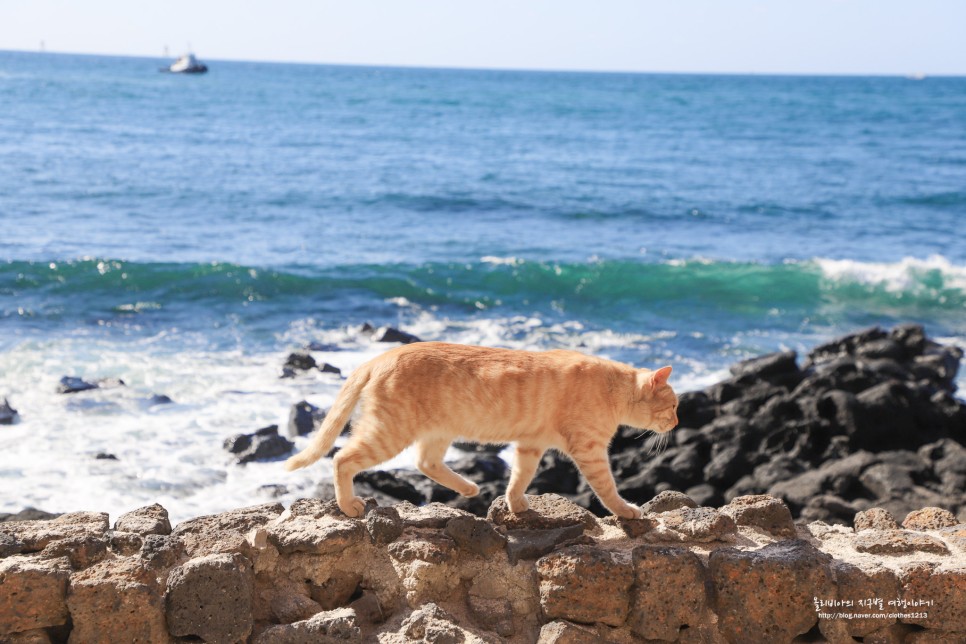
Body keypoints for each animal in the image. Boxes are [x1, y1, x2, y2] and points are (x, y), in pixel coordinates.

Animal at [286, 342, 680, 520]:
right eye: (675, 406)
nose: (677, 423)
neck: (614, 387)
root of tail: (380, 355)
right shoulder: (589, 449)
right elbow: (607, 487)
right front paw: (626, 510)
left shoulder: (530, 445)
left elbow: (519, 477)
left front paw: (515, 504)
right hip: (389, 431)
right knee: (342, 458)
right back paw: (348, 504)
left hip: (436, 431)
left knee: (426, 463)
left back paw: (469, 487)